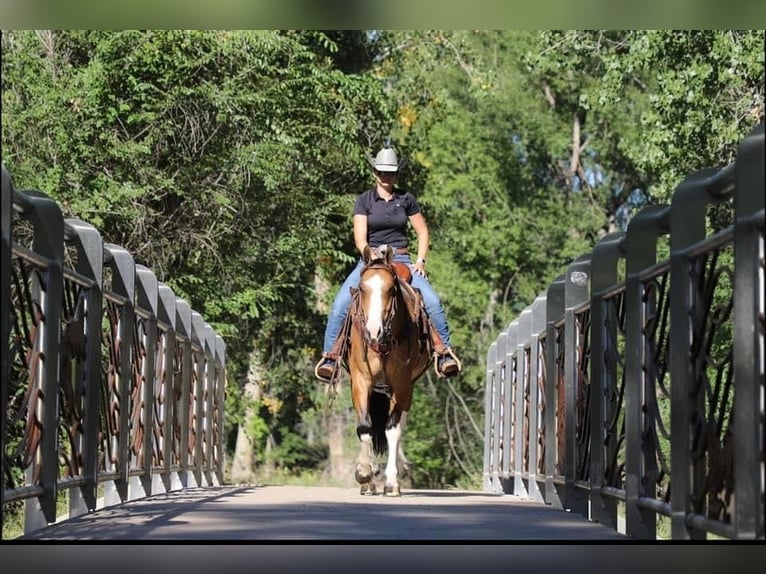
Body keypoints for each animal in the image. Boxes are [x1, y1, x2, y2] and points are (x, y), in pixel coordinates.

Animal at [344, 245, 436, 498]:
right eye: (362, 288)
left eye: (391, 289)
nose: (373, 330)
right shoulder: (360, 380)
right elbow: (364, 426)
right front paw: (363, 474)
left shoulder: (402, 385)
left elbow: (392, 430)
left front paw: (391, 483)